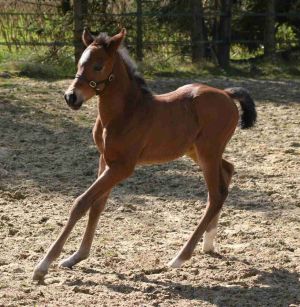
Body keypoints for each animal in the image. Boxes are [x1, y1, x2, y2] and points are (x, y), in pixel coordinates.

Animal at [33, 28, 258, 284]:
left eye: (98, 66)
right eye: (80, 63)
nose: (71, 97)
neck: (125, 113)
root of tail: (226, 94)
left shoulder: (123, 167)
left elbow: (81, 203)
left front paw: (43, 266)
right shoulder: (105, 159)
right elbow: (97, 204)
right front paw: (76, 256)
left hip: (208, 152)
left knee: (216, 194)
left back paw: (181, 257)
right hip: (198, 151)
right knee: (228, 171)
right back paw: (208, 244)